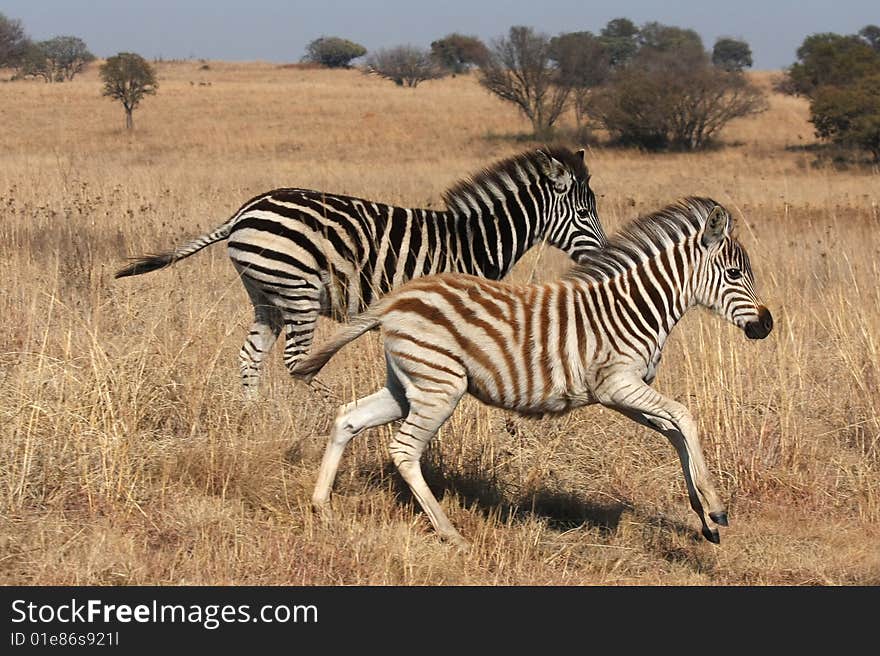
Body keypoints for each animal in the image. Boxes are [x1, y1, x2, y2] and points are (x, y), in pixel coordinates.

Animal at [115, 147, 604, 394]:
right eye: (584, 214)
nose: (601, 255)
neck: (472, 240)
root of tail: (243, 212)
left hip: (265, 294)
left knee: (250, 356)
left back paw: (248, 416)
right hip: (298, 291)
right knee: (296, 362)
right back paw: (319, 412)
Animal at [292, 197, 772, 544]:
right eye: (734, 273)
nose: (766, 325)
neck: (634, 307)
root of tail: (396, 299)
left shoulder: (619, 393)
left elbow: (673, 431)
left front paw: (704, 517)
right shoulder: (618, 383)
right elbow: (685, 418)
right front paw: (714, 506)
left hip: (408, 384)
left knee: (348, 417)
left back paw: (321, 506)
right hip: (440, 385)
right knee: (405, 450)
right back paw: (450, 533)